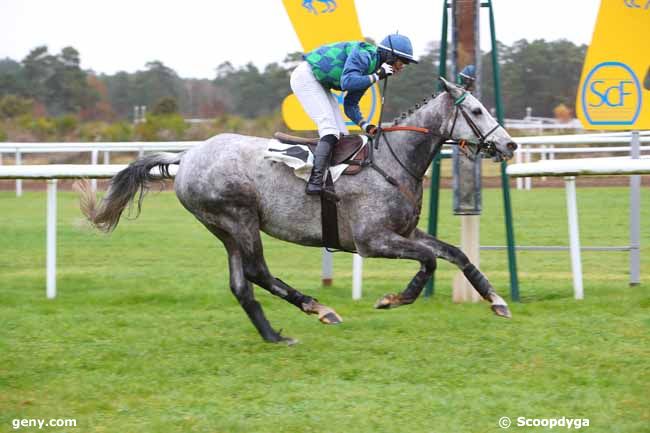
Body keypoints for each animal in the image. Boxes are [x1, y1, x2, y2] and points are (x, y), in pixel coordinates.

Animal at [78, 76, 516, 342]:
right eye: (477, 111)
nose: (510, 144)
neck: (392, 162)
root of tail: (186, 156)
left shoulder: (405, 232)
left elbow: (457, 255)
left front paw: (496, 301)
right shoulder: (373, 240)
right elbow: (429, 261)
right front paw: (392, 299)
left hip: (224, 228)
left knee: (241, 283)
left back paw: (275, 335)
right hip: (240, 217)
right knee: (257, 271)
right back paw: (318, 308)